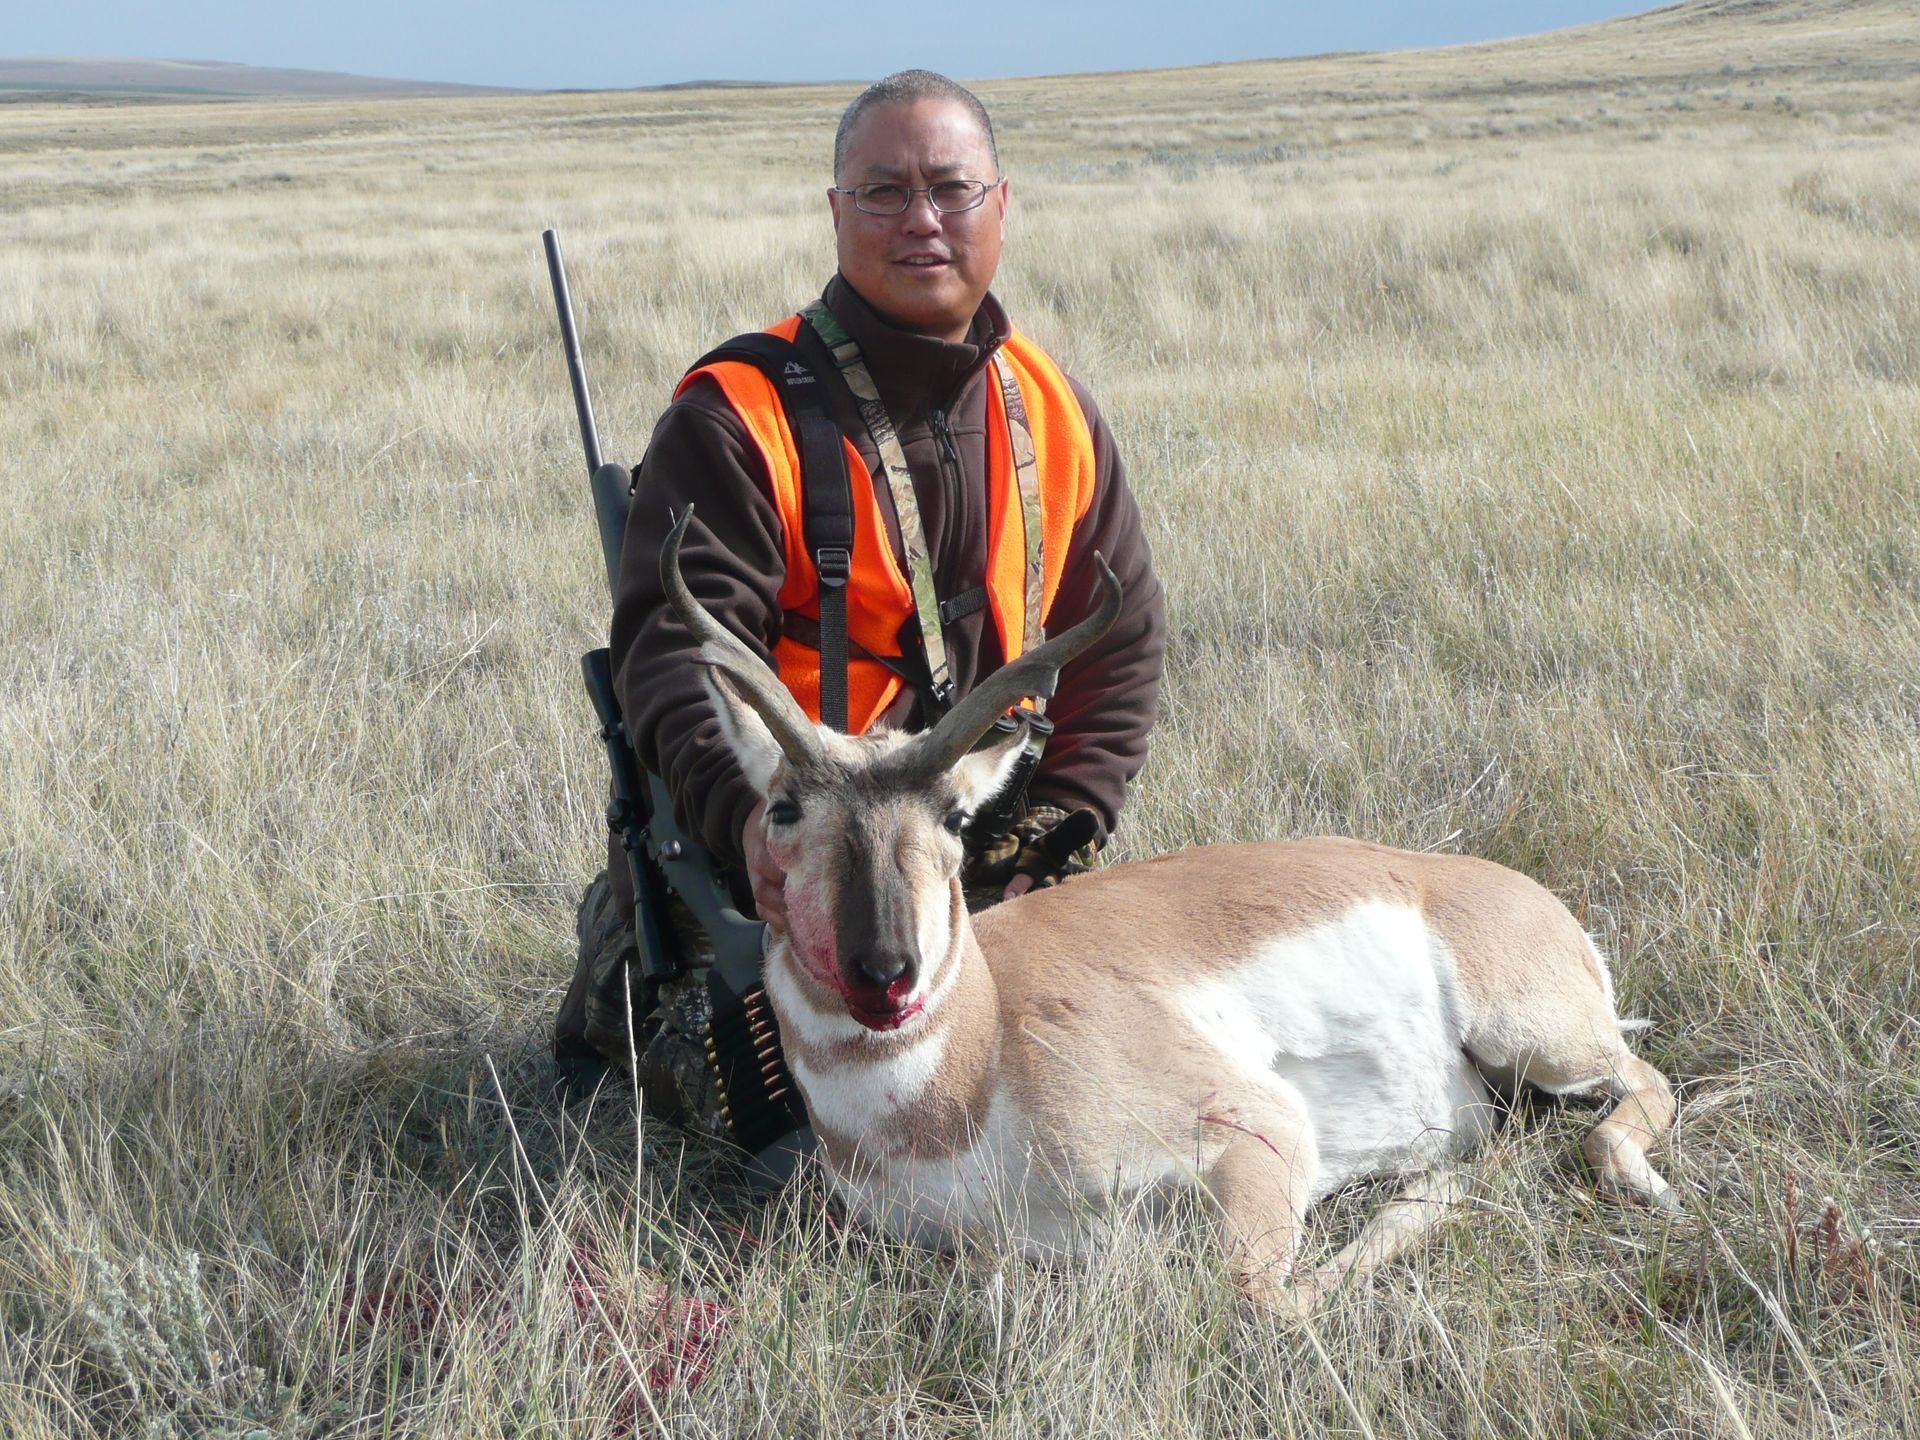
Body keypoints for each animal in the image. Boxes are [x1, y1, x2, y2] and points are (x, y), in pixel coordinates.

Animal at [660, 510, 1677, 1314]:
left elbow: (1266, 1297)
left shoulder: (1260, 1134)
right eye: (783, 808)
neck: (976, 1053)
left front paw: (1440, 1193)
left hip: (1537, 1041)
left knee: (1641, 1083)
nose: (885, 973)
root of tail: (1493, 885)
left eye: (954, 816)